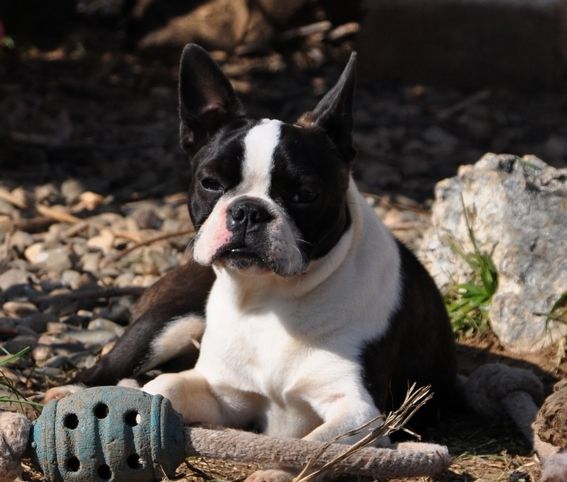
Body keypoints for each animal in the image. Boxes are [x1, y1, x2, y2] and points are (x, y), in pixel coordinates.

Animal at [72, 44, 457, 481]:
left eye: (306, 194)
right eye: (210, 183)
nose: (248, 211)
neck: (270, 299)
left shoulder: (359, 412)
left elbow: (311, 447)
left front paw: (275, 469)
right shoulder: (225, 393)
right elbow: (164, 388)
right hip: (169, 323)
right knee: (98, 372)